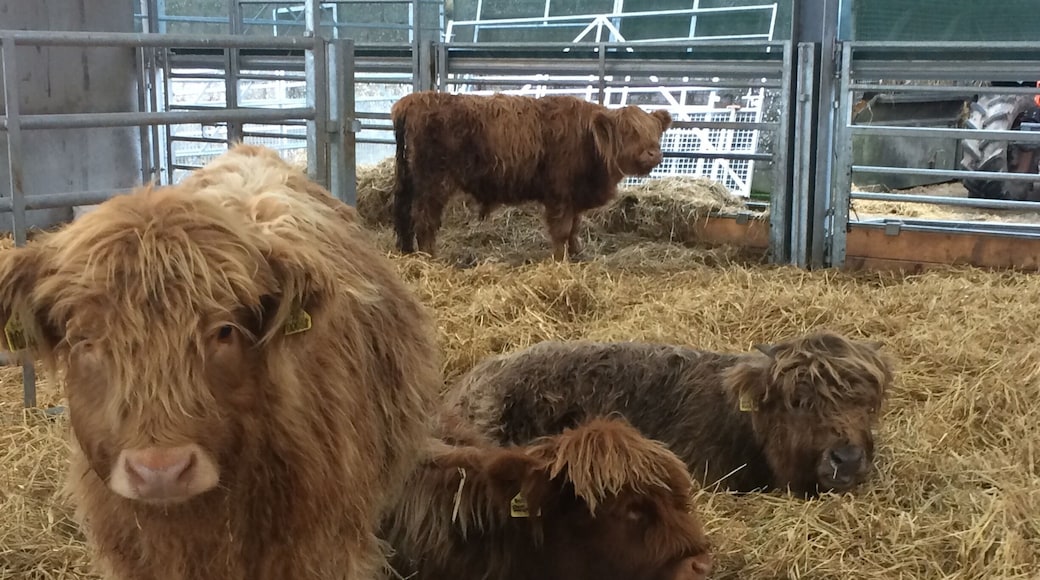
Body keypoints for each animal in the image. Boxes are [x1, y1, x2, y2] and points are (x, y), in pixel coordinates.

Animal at [390, 91, 673, 261]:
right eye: (629, 132)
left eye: (655, 131)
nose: (653, 154)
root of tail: (415, 99)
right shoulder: (559, 194)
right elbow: (562, 231)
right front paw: (559, 261)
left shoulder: (574, 197)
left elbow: (574, 229)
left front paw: (577, 255)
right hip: (433, 183)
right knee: (424, 221)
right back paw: (430, 258)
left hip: (411, 180)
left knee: (406, 216)